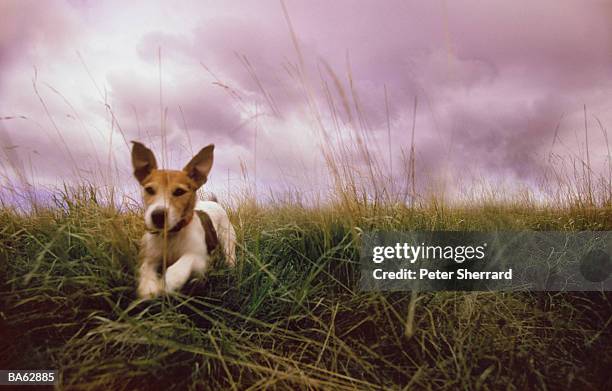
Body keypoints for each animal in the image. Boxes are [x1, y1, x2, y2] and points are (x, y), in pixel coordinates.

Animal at [131, 142, 237, 298]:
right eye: (149, 190)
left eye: (179, 192)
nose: (158, 216)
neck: (171, 235)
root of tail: (214, 202)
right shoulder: (149, 257)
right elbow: (145, 269)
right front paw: (148, 286)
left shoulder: (200, 259)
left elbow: (183, 263)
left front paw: (169, 282)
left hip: (228, 239)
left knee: (230, 255)